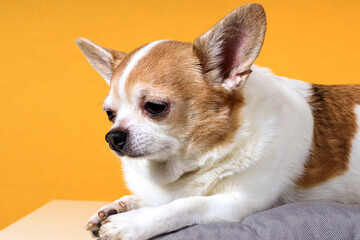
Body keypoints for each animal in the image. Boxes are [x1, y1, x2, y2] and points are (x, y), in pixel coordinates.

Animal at [75, 3, 360, 240]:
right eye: (110, 114)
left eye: (155, 107)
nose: (113, 136)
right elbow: (157, 199)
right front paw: (118, 206)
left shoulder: (238, 203)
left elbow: (186, 203)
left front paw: (131, 222)